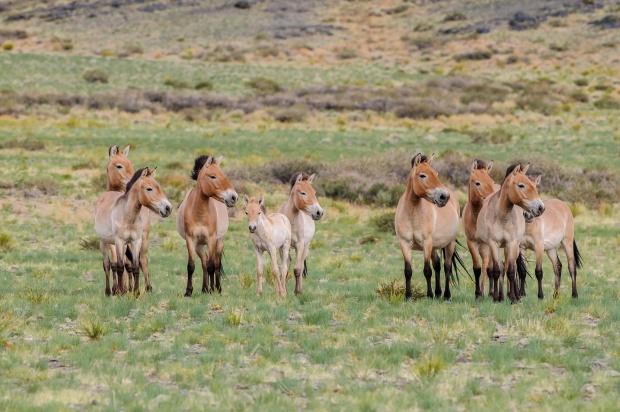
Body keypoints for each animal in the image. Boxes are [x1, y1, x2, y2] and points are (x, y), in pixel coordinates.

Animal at [94, 168, 172, 296]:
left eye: (159, 187)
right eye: (149, 188)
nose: (168, 208)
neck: (128, 216)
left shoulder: (135, 241)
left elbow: (135, 266)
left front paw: (136, 292)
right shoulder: (119, 241)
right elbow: (119, 266)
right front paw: (121, 292)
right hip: (104, 242)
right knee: (107, 265)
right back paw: (108, 291)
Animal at [179, 155, 240, 296]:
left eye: (223, 175)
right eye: (213, 176)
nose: (234, 197)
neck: (199, 214)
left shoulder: (212, 239)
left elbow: (212, 266)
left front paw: (213, 289)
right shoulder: (191, 240)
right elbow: (191, 266)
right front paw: (188, 291)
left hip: (219, 241)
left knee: (215, 263)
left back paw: (216, 288)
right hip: (200, 245)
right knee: (204, 262)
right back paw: (204, 288)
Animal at [398, 153, 460, 300]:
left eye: (436, 173)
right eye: (422, 175)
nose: (444, 196)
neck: (412, 213)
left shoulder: (426, 243)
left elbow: (427, 270)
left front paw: (429, 295)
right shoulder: (404, 243)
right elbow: (408, 270)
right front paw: (408, 296)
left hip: (449, 243)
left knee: (447, 266)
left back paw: (446, 295)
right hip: (434, 246)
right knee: (437, 263)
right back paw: (438, 293)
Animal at [462, 159, 502, 298]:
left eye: (491, 181)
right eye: (477, 183)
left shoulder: (489, 243)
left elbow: (490, 268)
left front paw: (491, 292)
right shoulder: (471, 242)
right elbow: (477, 268)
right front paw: (478, 293)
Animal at [474, 163, 544, 302]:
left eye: (534, 187)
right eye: (521, 185)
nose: (540, 208)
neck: (502, 216)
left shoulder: (511, 243)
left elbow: (511, 271)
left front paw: (513, 298)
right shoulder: (493, 244)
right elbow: (496, 270)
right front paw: (496, 298)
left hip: (513, 247)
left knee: (512, 267)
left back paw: (515, 294)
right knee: (500, 268)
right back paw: (501, 295)